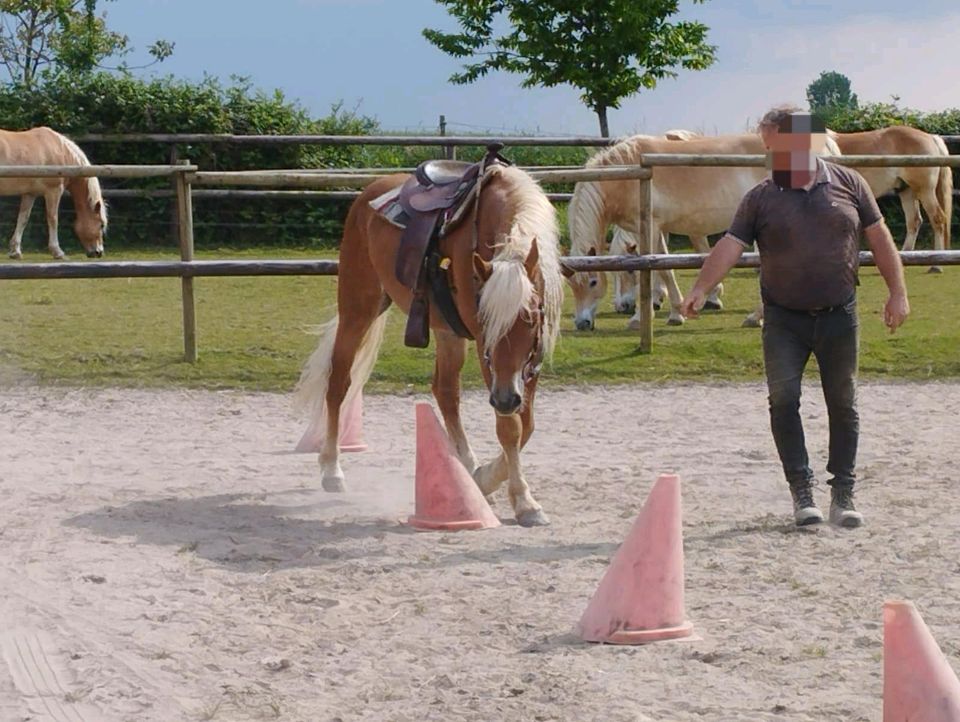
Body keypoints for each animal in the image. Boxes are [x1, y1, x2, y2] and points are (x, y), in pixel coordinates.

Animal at [0, 126, 106, 258]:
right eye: (101, 224)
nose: (98, 252)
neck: (63, 153)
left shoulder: (30, 194)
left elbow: (23, 218)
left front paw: (15, 251)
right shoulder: (54, 191)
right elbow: (53, 218)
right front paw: (57, 251)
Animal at [292, 162, 564, 524]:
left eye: (531, 319)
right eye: (485, 321)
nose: (506, 398)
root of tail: (369, 194)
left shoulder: (527, 362)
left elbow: (527, 424)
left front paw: (484, 479)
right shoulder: (488, 356)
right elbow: (510, 428)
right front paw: (523, 500)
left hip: (447, 331)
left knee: (446, 391)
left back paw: (469, 469)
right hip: (357, 310)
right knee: (338, 383)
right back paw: (331, 469)